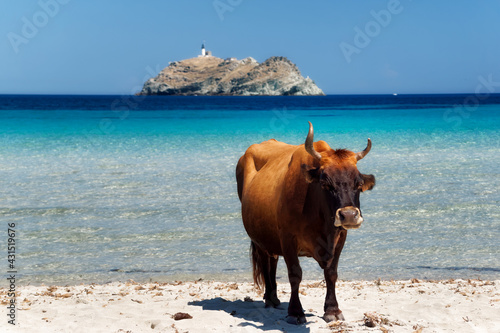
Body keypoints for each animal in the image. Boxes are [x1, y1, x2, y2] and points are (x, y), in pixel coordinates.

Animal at [235, 120, 376, 322]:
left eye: (358, 183)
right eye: (325, 183)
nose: (349, 215)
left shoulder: (340, 237)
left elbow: (331, 273)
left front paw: (332, 309)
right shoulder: (287, 238)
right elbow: (295, 274)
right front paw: (295, 312)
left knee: (273, 261)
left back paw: (274, 298)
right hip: (259, 237)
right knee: (265, 261)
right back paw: (270, 297)